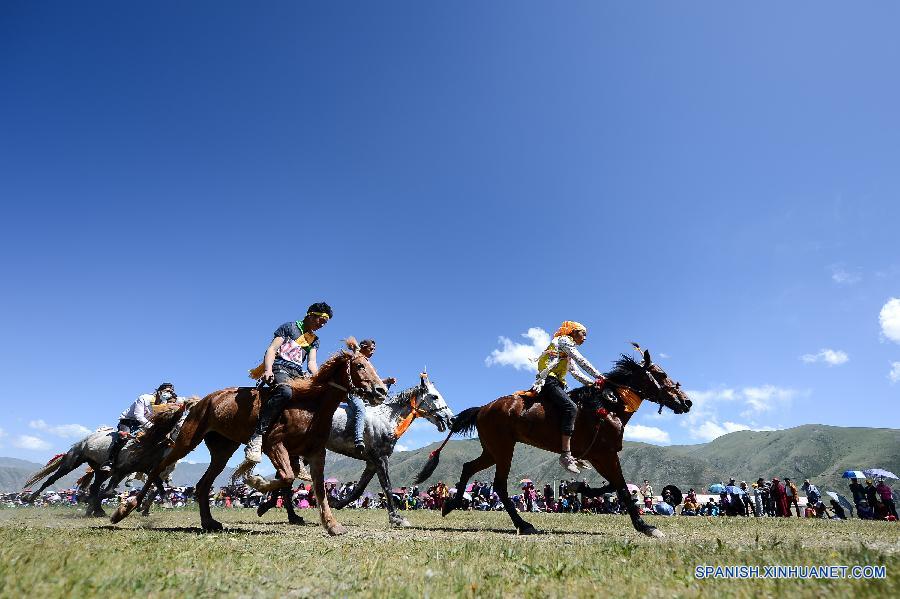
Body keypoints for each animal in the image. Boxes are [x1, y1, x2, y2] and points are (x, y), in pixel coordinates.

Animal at [22, 404, 190, 516]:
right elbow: (109, 492)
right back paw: (29, 497)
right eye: (181, 425)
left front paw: (164, 503)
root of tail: (81, 442)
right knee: (51, 480)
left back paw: (95, 509)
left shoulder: (149, 469)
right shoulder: (122, 470)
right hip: (72, 462)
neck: (146, 443)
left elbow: (159, 486)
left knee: (94, 487)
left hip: (101, 471)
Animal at [111, 342, 386, 536]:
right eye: (360, 366)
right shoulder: (274, 443)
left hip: (222, 450)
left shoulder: (316, 453)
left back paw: (208, 521)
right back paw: (123, 511)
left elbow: (318, 489)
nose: (381, 390)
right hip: (187, 440)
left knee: (202, 485)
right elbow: (286, 477)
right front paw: (257, 484)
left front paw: (332, 525)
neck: (311, 405)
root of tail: (201, 401)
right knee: (158, 468)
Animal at [255, 372, 454, 528]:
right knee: (284, 482)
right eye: (434, 396)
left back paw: (284, 512)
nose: (451, 419)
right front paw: (397, 518)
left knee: (284, 481)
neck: (385, 419)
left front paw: (336, 502)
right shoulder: (381, 459)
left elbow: (358, 490)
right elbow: (387, 487)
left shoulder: (372, 463)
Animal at [418, 346, 692, 540]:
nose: (687, 402)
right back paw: (523, 524)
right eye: (661, 374)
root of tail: (483, 408)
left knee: (468, 468)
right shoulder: (604, 454)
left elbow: (614, 487)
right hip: (504, 449)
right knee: (500, 485)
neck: (609, 405)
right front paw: (645, 526)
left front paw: (579, 487)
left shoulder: (599, 456)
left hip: (493, 450)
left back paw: (451, 504)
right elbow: (623, 488)